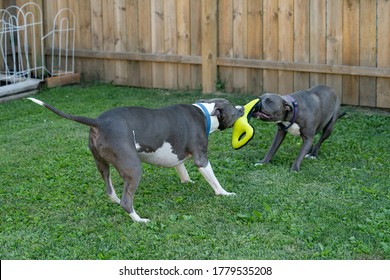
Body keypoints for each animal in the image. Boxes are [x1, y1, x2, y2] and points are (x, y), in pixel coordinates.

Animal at [28, 97, 244, 222]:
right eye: (234, 110)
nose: (243, 107)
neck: (206, 113)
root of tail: (99, 121)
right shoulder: (201, 158)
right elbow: (214, 180)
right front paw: (225, 193)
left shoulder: (177, 154)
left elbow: (180, 167)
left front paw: (187, 181)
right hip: (133, 168)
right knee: (127, 201)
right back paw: (139, 220)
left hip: (102, 164)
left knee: (110, 190)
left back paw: (116, 201)